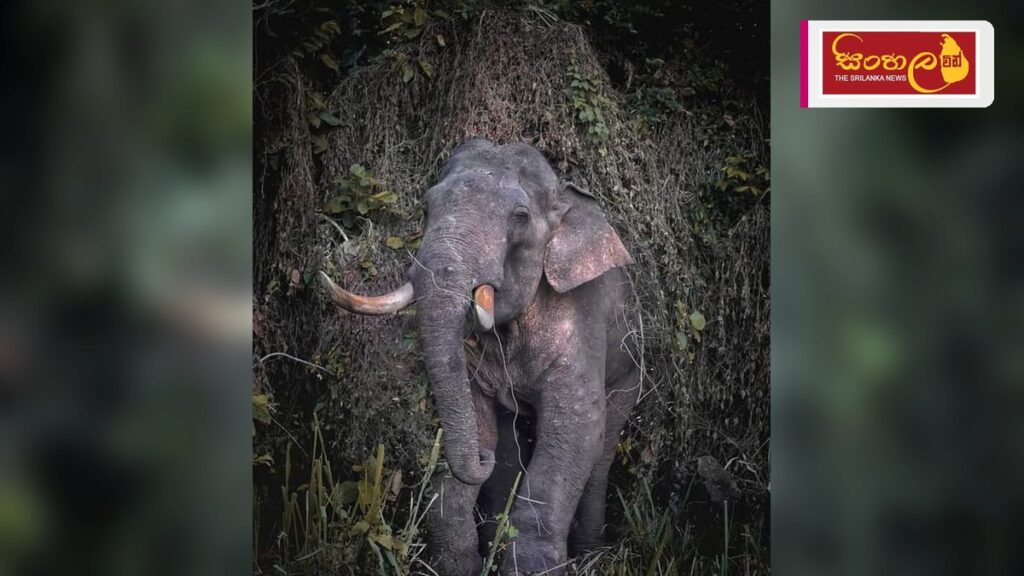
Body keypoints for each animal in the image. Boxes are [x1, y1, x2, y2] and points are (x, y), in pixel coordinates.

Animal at [320, 139, 641, 575]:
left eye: (520, 217)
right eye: (427, 206)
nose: (480, 458)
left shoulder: (582, 319)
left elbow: (576, 428)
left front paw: (533, 568)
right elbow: (478, 419)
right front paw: (460, 565)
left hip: (630, 372)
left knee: (604, 446)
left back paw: (592, 553)